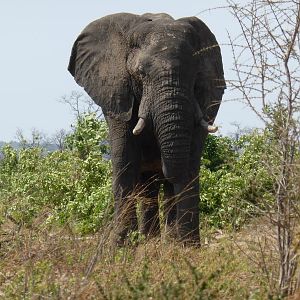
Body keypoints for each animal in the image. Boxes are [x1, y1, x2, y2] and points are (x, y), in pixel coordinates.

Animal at [68, 12, 226, 246]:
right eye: (140, 73)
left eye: (194, 74)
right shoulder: (117, 92)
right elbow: (125, 159)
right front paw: (122, 247)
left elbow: (191, 161)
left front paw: (186, 249)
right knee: (147, 185)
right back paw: (149, 240)